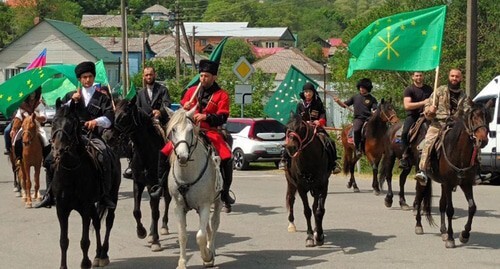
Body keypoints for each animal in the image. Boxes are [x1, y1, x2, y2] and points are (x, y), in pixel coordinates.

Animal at [50, 99, 121, 268]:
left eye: (71, 125)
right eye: (54, 122)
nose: (58, 151)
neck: (71, 173)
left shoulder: (84, 207)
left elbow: (84, 241)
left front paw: (85, 263)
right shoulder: (62, 209)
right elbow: (63, 241)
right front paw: (63, 266)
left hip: (113, 196)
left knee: (108, 222)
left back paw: (103, 254)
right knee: (97, 222)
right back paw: (97, 255)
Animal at [106, 97, 171, 250]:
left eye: (124, 116)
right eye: (114, 113)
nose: (108, 136)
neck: (146, 150)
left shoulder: (155, 183)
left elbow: (155, 211)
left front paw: (156, 241)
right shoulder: (139, 182)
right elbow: (137, 211)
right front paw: (142, 232)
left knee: (166, 200)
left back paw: (164, 227)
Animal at [167, 107, 222, 268]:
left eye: (190, 130)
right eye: (174, 129)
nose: (182, 157)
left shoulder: (204, 205)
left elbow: (200, 236)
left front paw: (207, 257)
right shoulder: (178, 207)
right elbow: (182, 235)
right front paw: (182, 263)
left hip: (218, 201)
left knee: (214, 224)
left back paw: (211, 249)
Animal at [284, 112, 334, 246]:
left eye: (301, 128)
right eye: (287, 127)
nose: (290, 147)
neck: (310, 159)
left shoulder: (322, 186)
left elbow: (319, 210)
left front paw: (319, 235)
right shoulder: (301, 187)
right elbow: (307, 211)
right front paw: (310, 236)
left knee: (314, 206)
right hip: (290, 182)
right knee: (291, 199)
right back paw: (291, 224)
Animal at [414, 98, 492, 247]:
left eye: (488, 117)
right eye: (473, 117)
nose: (483, 140)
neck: (459, 152)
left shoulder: (465, 183)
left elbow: (472, 207)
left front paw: (464, 235)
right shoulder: (449, 183)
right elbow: (450, 209)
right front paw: (451, 238)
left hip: (443, 185)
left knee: (441, 204)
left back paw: (443, 231)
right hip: (425, 179)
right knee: (419, 199)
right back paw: (419, 226)